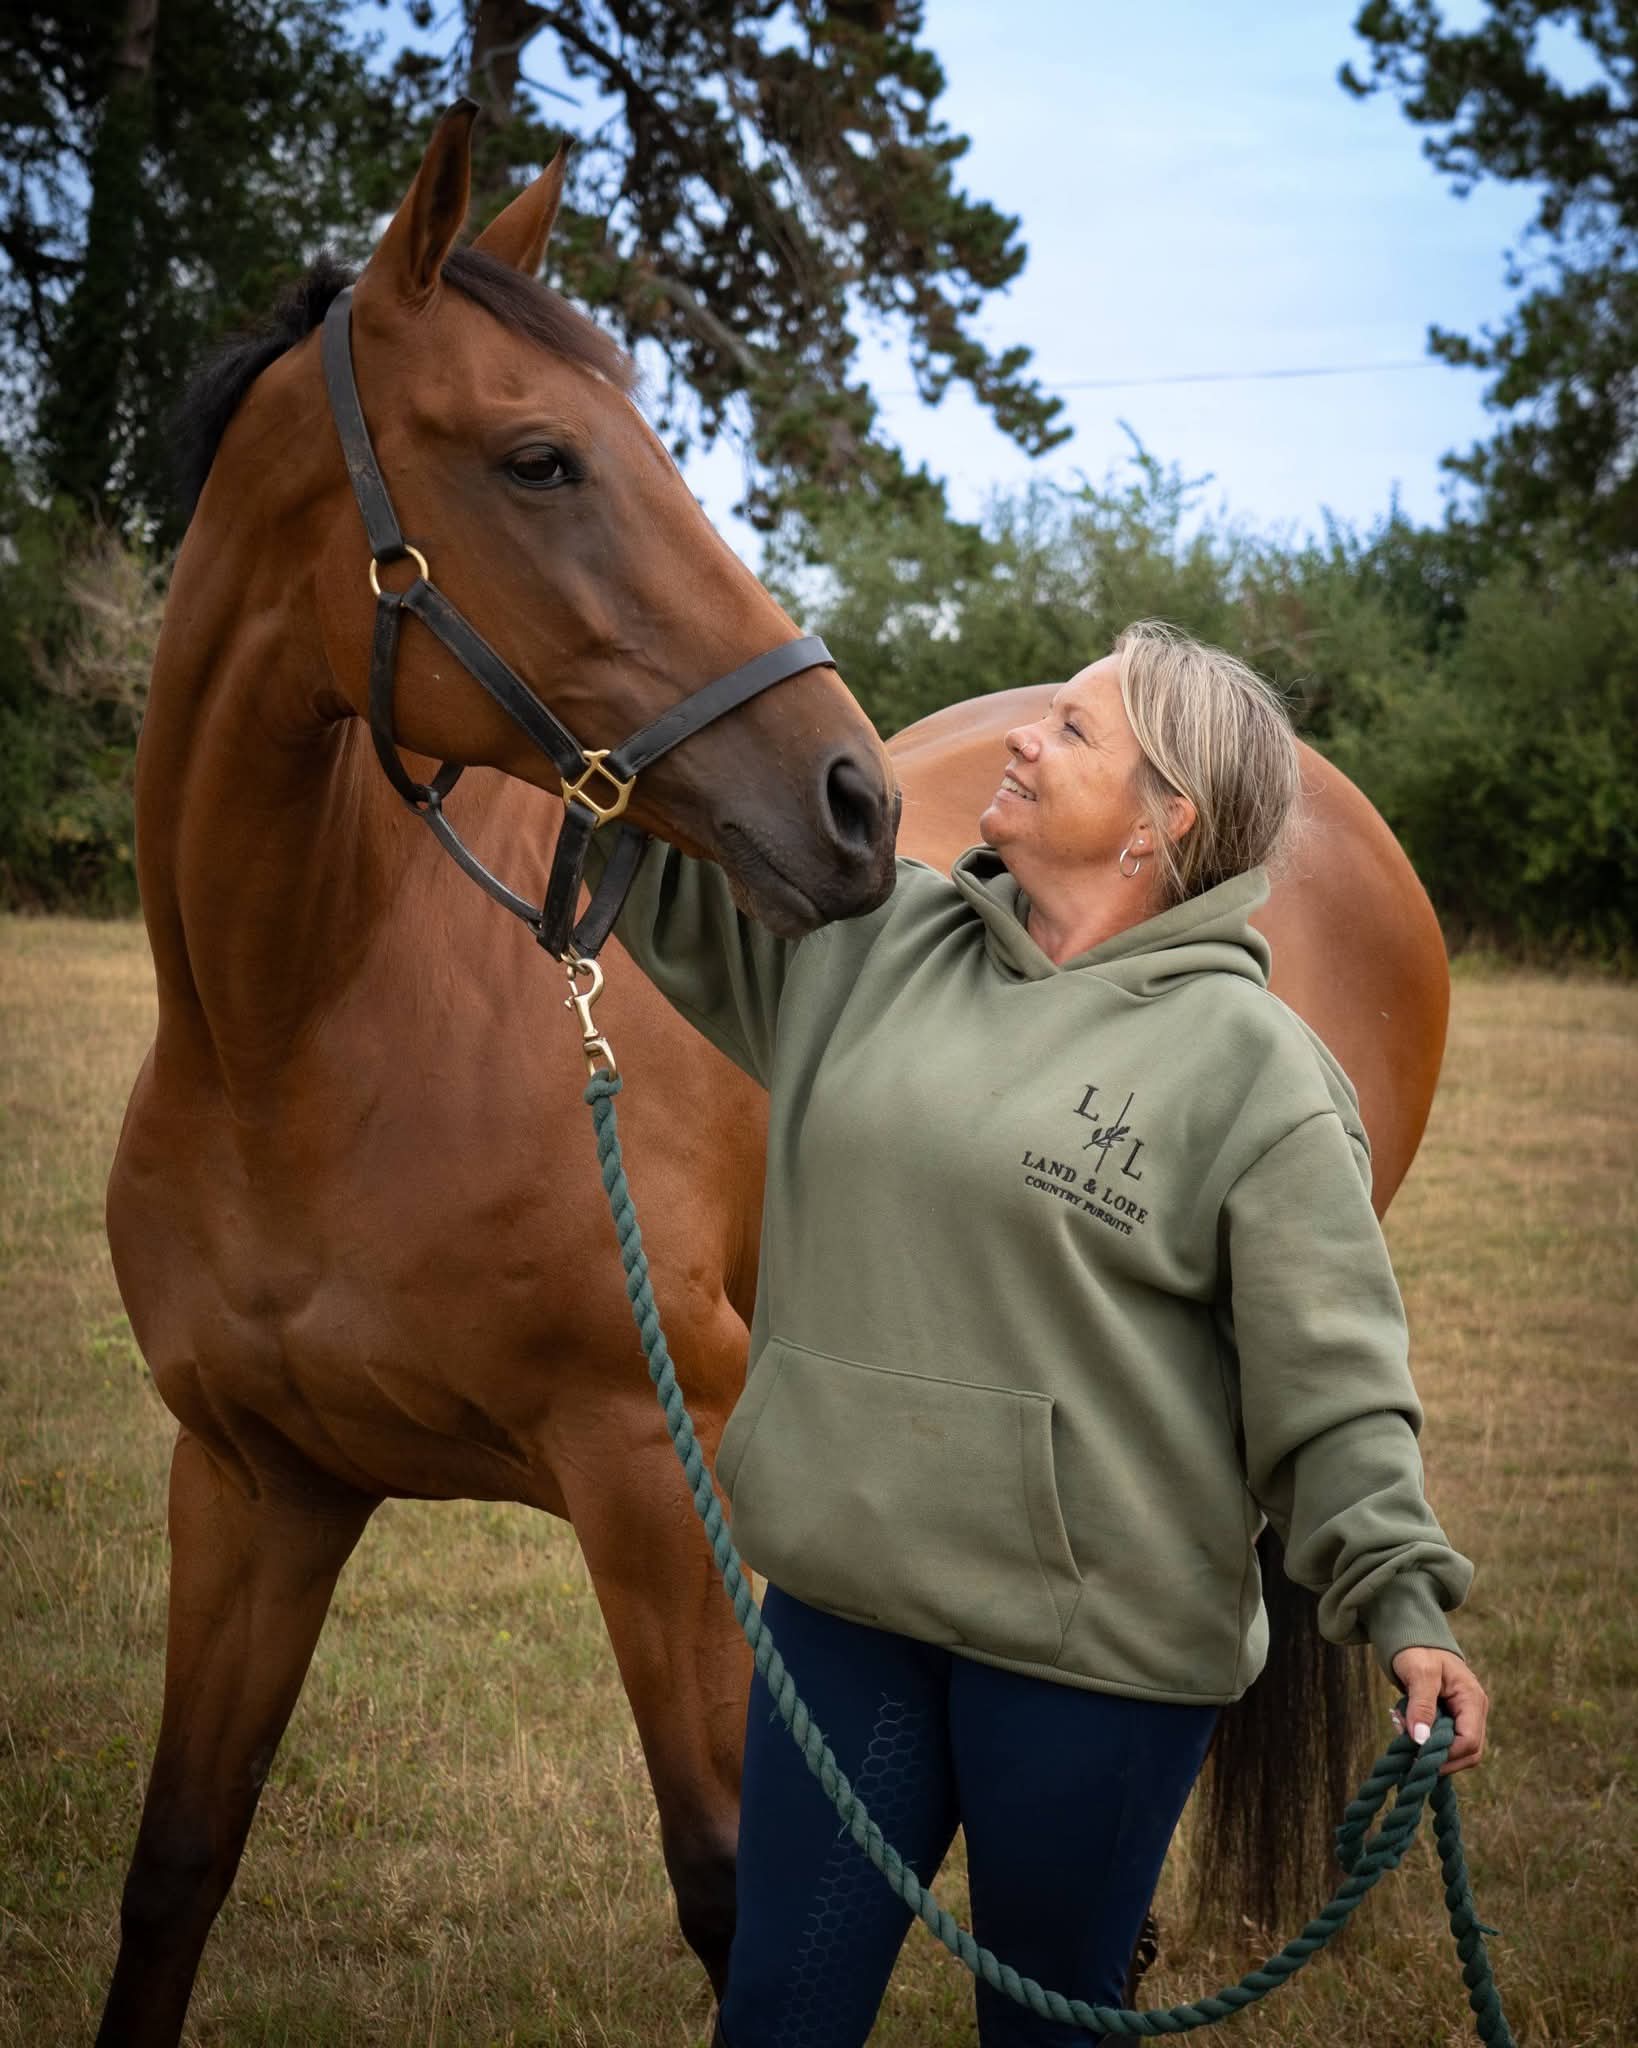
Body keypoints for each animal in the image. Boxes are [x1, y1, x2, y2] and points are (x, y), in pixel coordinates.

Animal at [99, 103, 1448, 2044]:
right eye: (539, 459)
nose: (854, 805)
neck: (305, 1040)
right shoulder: (251, 1485)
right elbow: (178, 1867)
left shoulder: (650, 1477)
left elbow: (733, 1885)